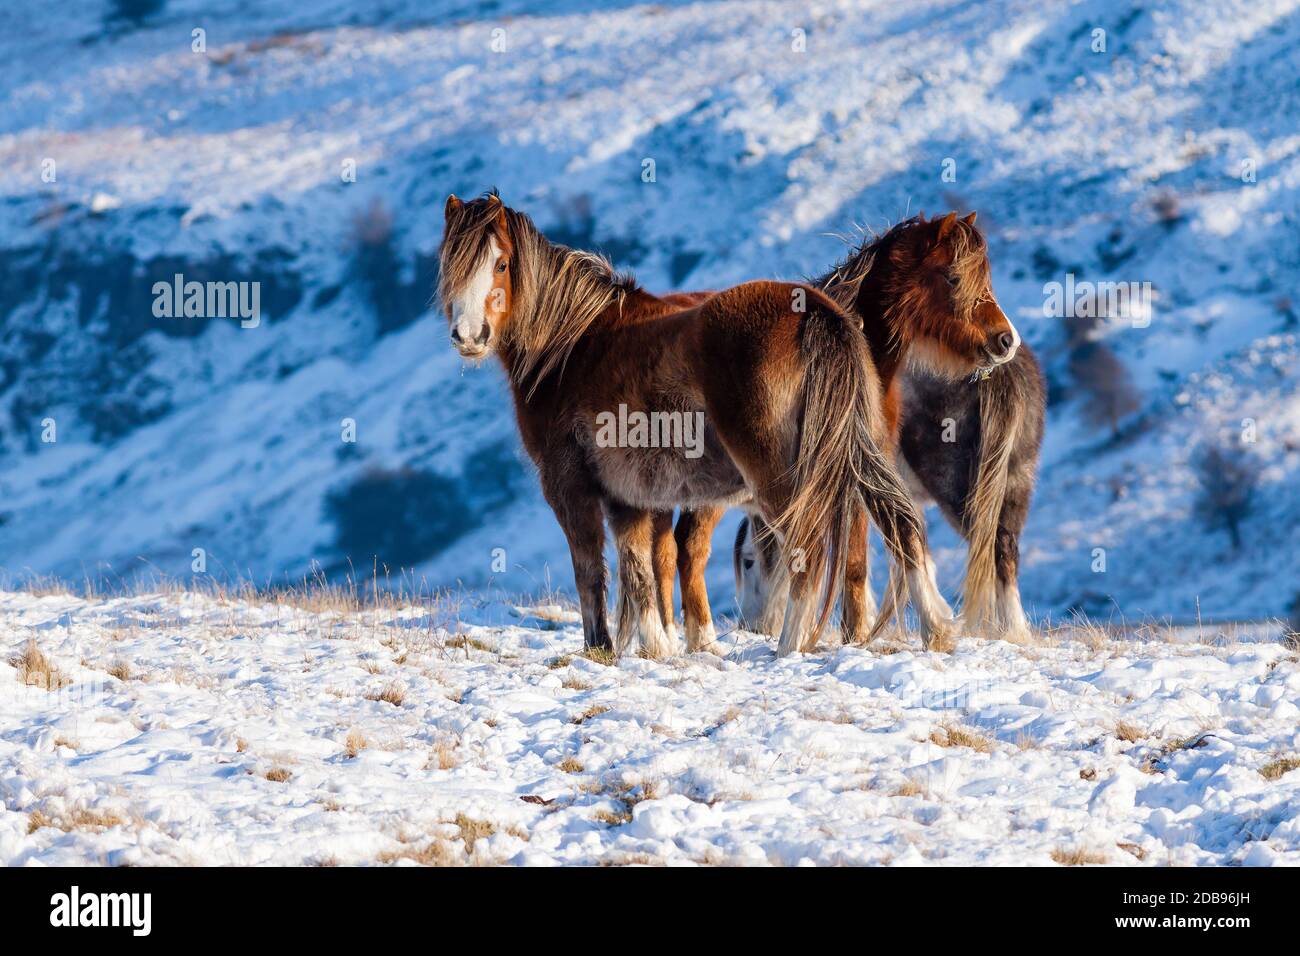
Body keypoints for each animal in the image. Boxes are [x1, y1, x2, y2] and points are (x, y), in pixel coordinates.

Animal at [441, 192, 961, 658]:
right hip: (856, 453)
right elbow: (640, 567)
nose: (469, 336)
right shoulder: (628, 496)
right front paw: (656, 647)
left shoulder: (570, 487)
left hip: (782, 477)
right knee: (900, 524)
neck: (571, 346)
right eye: (452, 266)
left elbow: (591, 568)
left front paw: (600, 647)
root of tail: (817, 312)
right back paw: (936, 629)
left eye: (501, 264)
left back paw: (790, 645)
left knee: (808, 549)